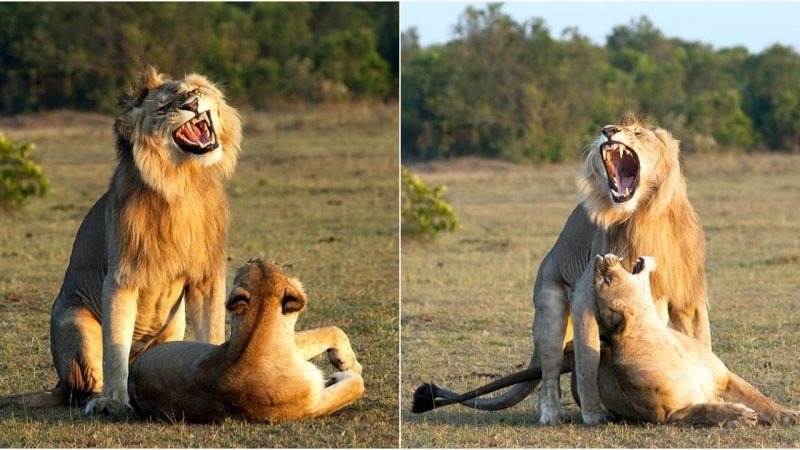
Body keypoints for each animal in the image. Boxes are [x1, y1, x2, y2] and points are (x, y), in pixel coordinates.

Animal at [0, 65, 241, 416]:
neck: (181, 183)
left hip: (173, 328)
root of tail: (59, 383)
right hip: (74, 321)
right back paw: (99, 400)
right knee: (85, 386)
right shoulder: (121, 278)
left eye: (193, 91)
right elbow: (115, 346)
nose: (192, 104)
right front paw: (113, 401)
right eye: (163, 107)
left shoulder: (206, 277)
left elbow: (210, 330)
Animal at [416, 116, 708, 426]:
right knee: (549, 373)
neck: (646, 215)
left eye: (638, 132)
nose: (608, 131)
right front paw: (593, 414)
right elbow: (588, 360)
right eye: (616, 126)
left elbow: (701, 341)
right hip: (550, 311)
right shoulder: (585, 292)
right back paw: (551, 414)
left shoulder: (688, 298)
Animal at [416, 255, 796, 428]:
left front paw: (787, 414)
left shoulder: (723, 378)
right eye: (607, 278)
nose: (602, 258)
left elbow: (759, 397)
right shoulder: (666, 414)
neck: (660, 336)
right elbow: (705, 410)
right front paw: (738, 416)